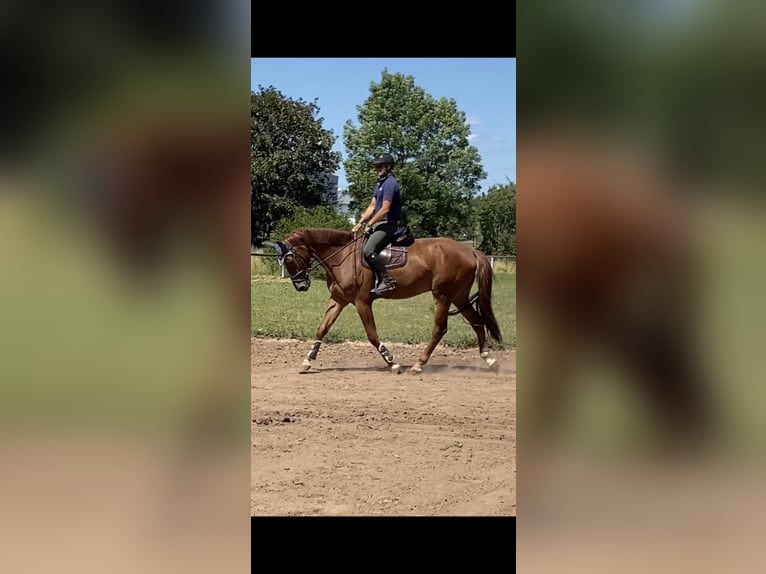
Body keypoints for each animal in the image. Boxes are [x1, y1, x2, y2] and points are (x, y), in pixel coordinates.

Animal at [263, 227, 503, 374]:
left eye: (290, 259)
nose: (301, 286)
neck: (341, 257)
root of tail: (469, 250)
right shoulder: (338, 300)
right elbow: (322, 328)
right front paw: (307, 361)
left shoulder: (362, 302)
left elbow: (371, 334)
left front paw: (392, 362)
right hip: (459, 297)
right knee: (477, 321)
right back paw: (489, 359)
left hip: (443, 296)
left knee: (440, 329)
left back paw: (419, 364)